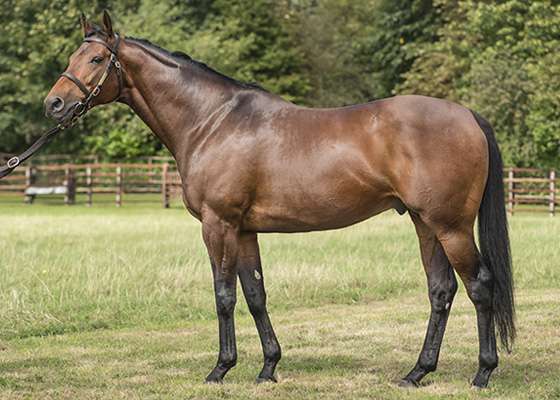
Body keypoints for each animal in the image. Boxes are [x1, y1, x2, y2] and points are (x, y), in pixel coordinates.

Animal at [43, 11, 515, 388]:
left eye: (96, 60)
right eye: (71, 58)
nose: (54, 104)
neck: (212, 121)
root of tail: (468, 115)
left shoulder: (218, 225)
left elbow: (224, 296)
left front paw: (220, 368)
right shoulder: (245, 230)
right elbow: (255, 294)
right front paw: (268, 367)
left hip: (450, 226)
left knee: (479, 286)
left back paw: (483, 372)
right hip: (425, 223)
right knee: (441, 290)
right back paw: (417, 372)